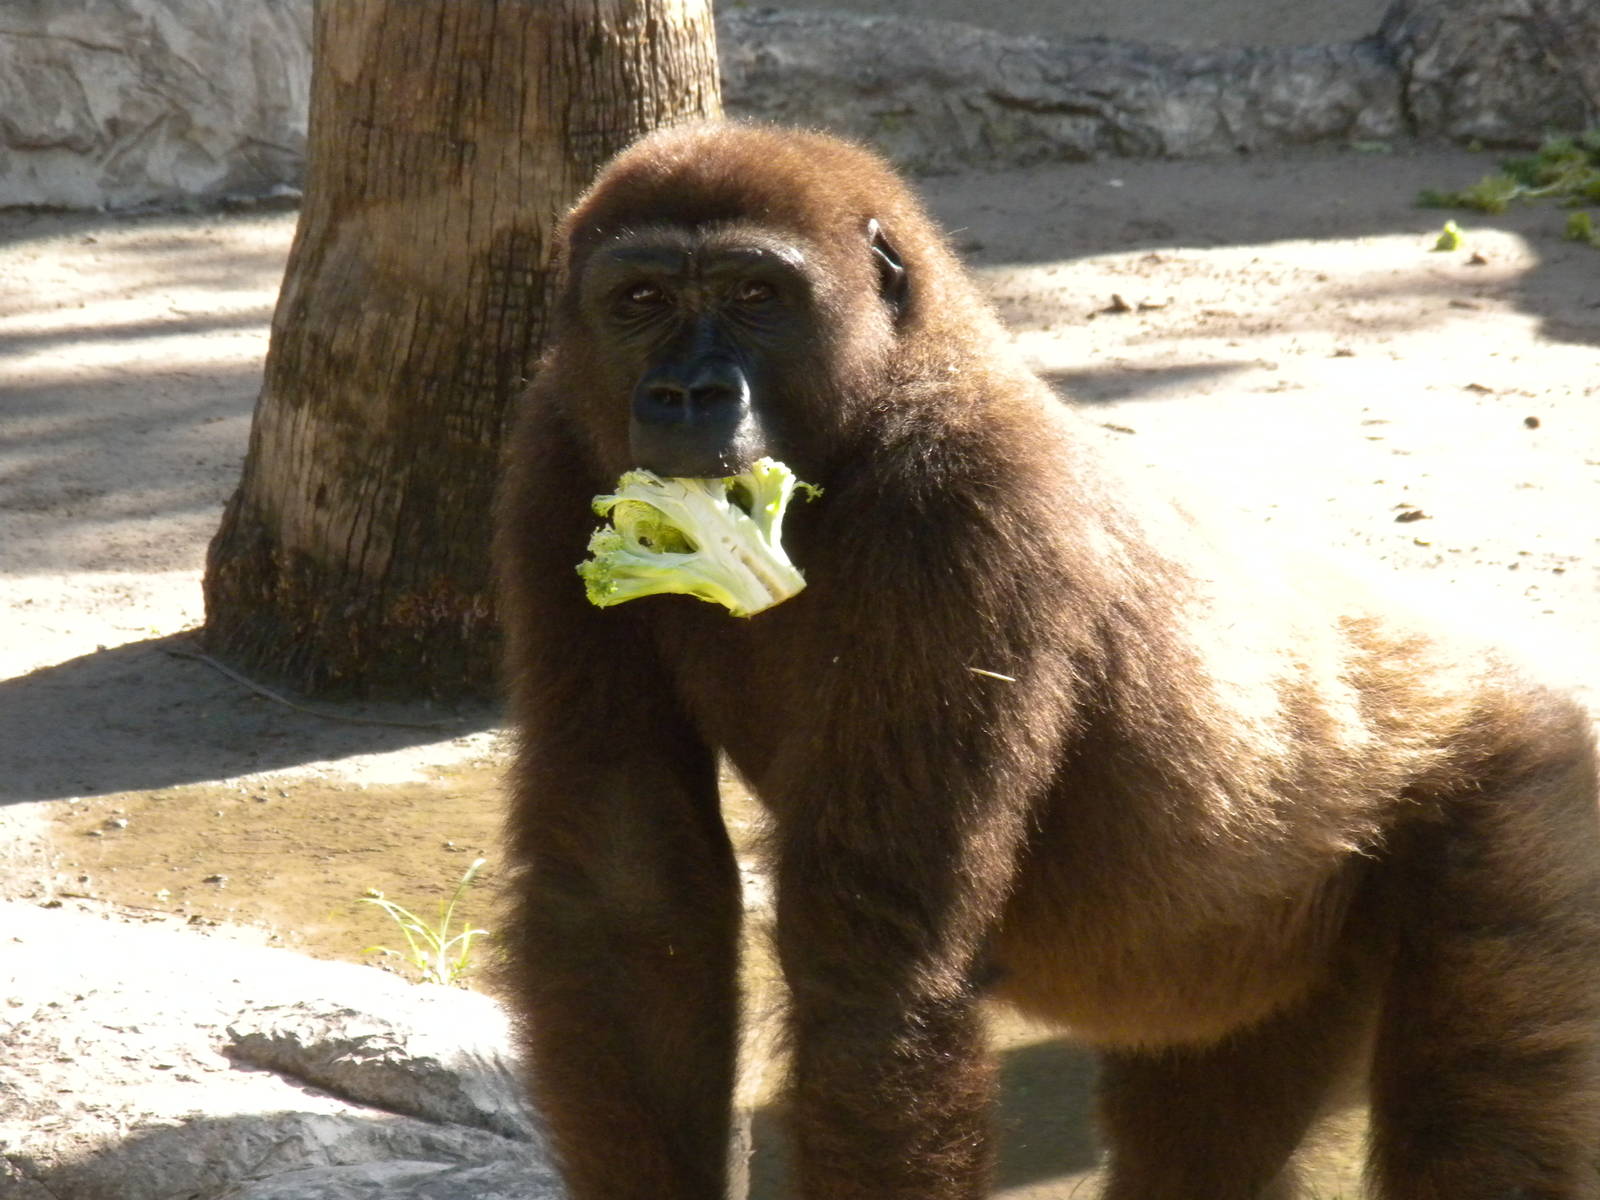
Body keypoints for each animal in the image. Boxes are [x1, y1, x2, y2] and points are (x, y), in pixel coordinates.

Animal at [493, 122, 1600, 1200]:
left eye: (756, 297)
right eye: (639, 301)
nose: (687, 394)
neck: (886, 392)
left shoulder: (965, 503)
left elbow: (872, 974)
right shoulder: (557, 452)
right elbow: (626, 901)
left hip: (1532, 782)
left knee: (1474, 1119)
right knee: (1205, 1139)